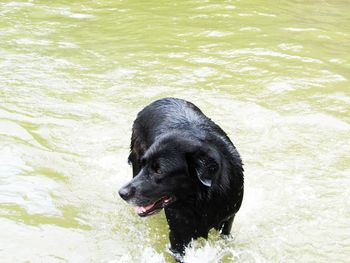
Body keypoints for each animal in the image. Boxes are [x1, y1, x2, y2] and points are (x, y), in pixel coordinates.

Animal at [117, 98, 243, 262]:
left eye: (159, 171)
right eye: (145, 164)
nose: (121, 193)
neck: (202, 201)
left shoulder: (227, 222)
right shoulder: (178, 235)